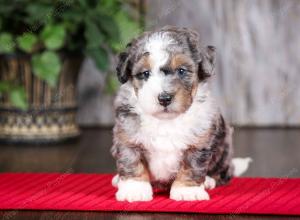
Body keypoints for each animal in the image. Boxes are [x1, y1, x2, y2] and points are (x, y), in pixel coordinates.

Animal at [110, 26, 251, 202]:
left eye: (182, 70)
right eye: (145, 73)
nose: (164, 98)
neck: (165, 121)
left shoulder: (199, 141)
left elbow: (192, 165)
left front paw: (187, 191)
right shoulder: (127, 136)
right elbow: (132, 162)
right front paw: (134, 190)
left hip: (224, 147)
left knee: (224, 172)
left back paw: (209, 180)